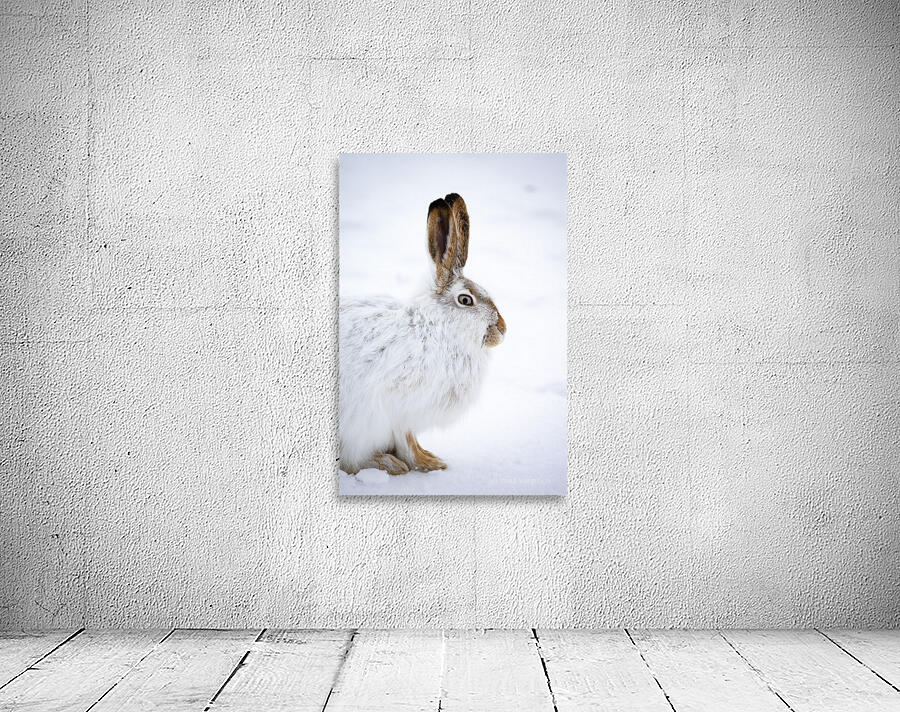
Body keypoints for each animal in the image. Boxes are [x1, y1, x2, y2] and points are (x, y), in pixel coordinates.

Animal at [339, 193, 506, 475]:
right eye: (465, 300)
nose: (502, 331)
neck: (435, 327)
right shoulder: (396, 409)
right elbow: (406, 441)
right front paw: (427, 463)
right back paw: (386, 463)